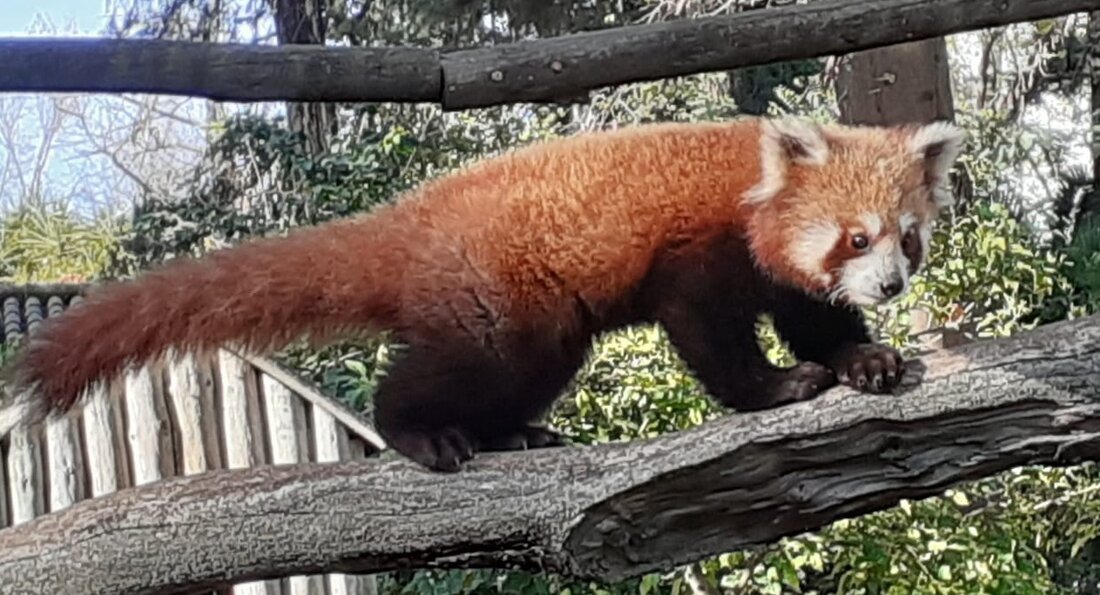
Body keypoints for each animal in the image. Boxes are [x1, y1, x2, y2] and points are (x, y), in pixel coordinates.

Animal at [0, 114, 963, 468]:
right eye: (856, 235)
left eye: (907, 236)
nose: (892, 280)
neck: (751, 185)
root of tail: (409, 220)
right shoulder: (698, 254)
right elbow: (712, 339)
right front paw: (777, 386)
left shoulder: (784, 273)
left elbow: (812, 315)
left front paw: (865, 358)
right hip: (499, 309)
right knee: (436, 376)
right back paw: (423, 433)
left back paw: (516, 432)